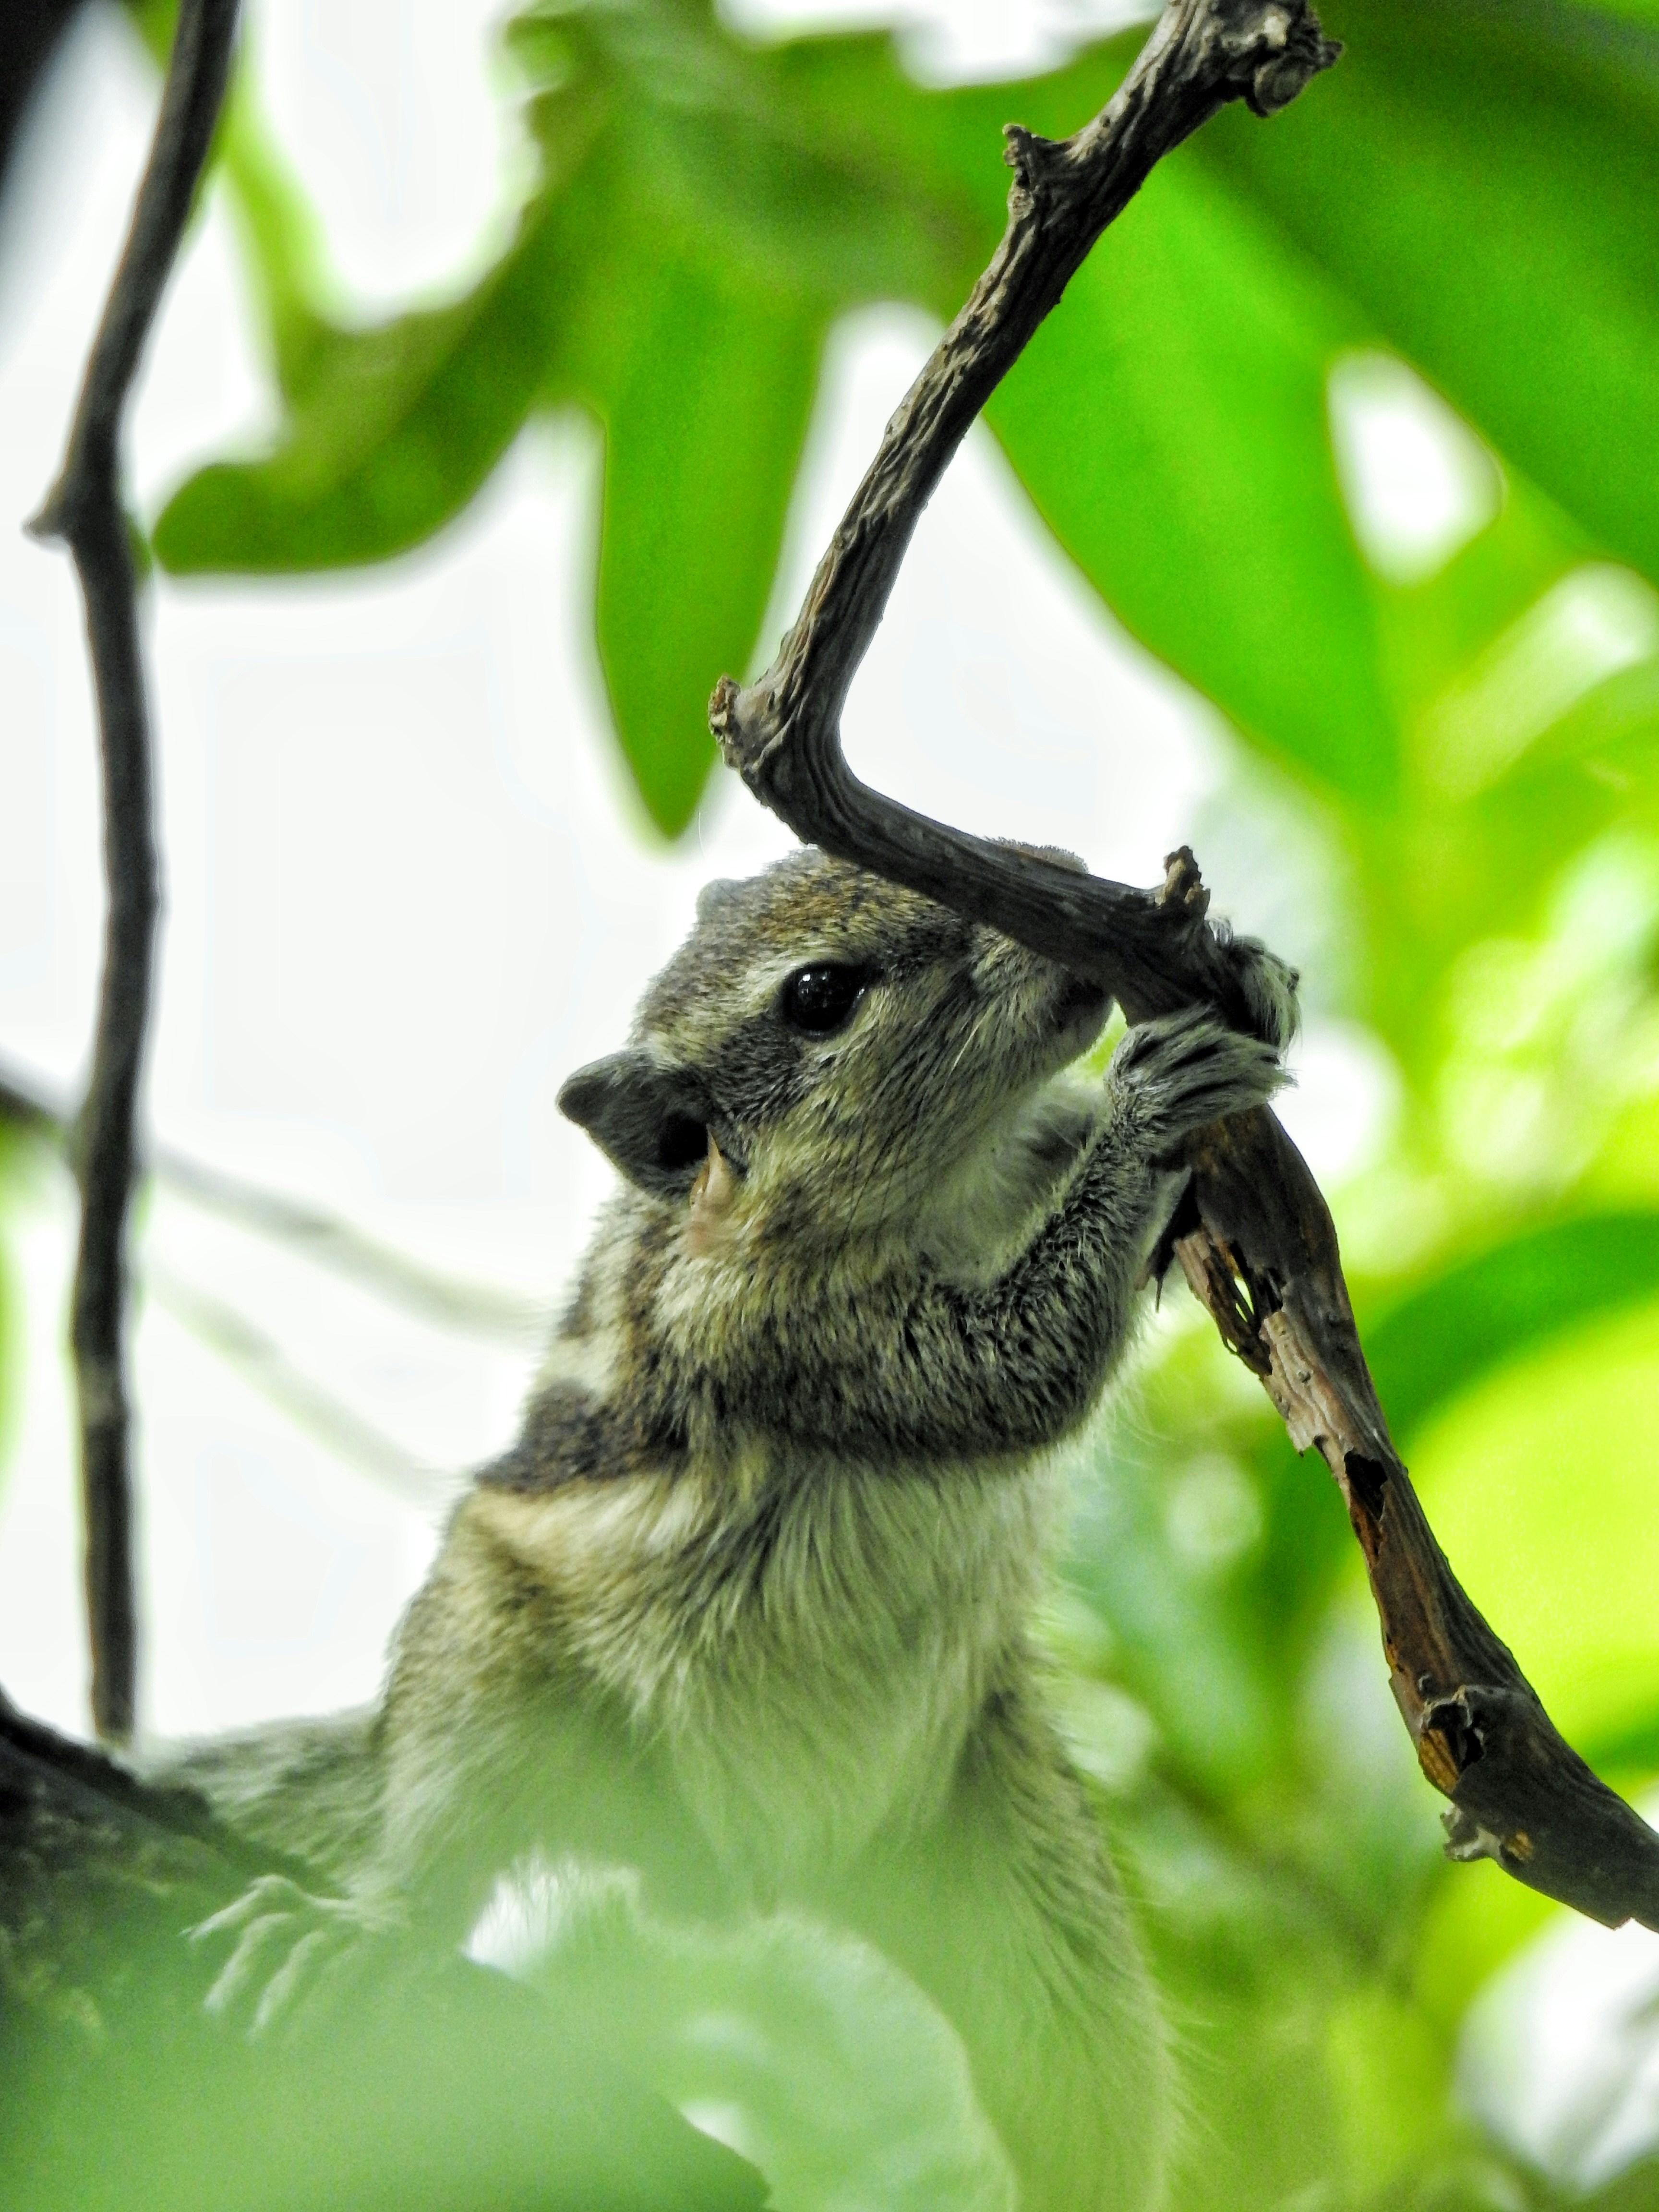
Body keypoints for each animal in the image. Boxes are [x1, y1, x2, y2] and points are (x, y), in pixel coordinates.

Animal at [164, 847, 1295, 2212]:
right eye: (818, 996)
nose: (1070, 878)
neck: (951, 1177)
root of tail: (772, 1873)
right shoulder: (766, 1327)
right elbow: (1011, 1370)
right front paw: (1151, 1109)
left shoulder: (1027, 1148)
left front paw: (1255, 976)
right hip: (484, 1676)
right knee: (434, 1834)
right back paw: (366, 1924)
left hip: (1021, 1889)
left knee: (1086, 2109)